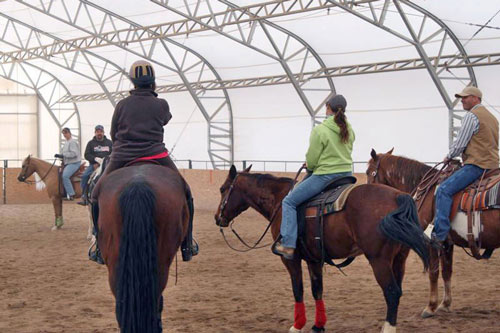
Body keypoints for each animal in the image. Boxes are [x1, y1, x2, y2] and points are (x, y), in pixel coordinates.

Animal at [213, 165, 428, 330]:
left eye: (223, 189)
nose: (217, 218)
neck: (280, 200)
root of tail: (398, 196)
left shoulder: (290, 259)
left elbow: (298, 290)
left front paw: (297, 326)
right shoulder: (314, 259)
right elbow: (317, 290)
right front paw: (318, 326)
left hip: (379, 260)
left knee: (392, 293)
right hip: (399, 258)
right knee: (398, 290)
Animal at [364, 149, 500, 318]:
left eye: (369, 172)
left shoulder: (431, 241)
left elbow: (433, 272)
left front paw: (430, 306)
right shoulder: (447, 243)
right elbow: (447, 271)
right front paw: (445, 304)